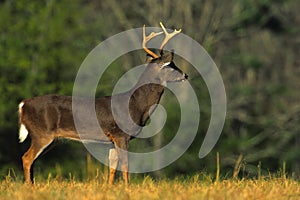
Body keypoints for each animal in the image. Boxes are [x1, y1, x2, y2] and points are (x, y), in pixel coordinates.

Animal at [17, 21, 186, 184]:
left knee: (31, 160)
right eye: (169, 65)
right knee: (26, 158)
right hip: (42, 133)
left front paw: (110, 187)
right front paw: (127, 188)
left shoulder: (112, 139)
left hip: (51, 138)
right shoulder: (121, 134)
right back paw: (30, 187)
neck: (135, 105)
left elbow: (113, 167)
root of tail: (23, 105)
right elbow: (126, 165)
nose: (186, 75)